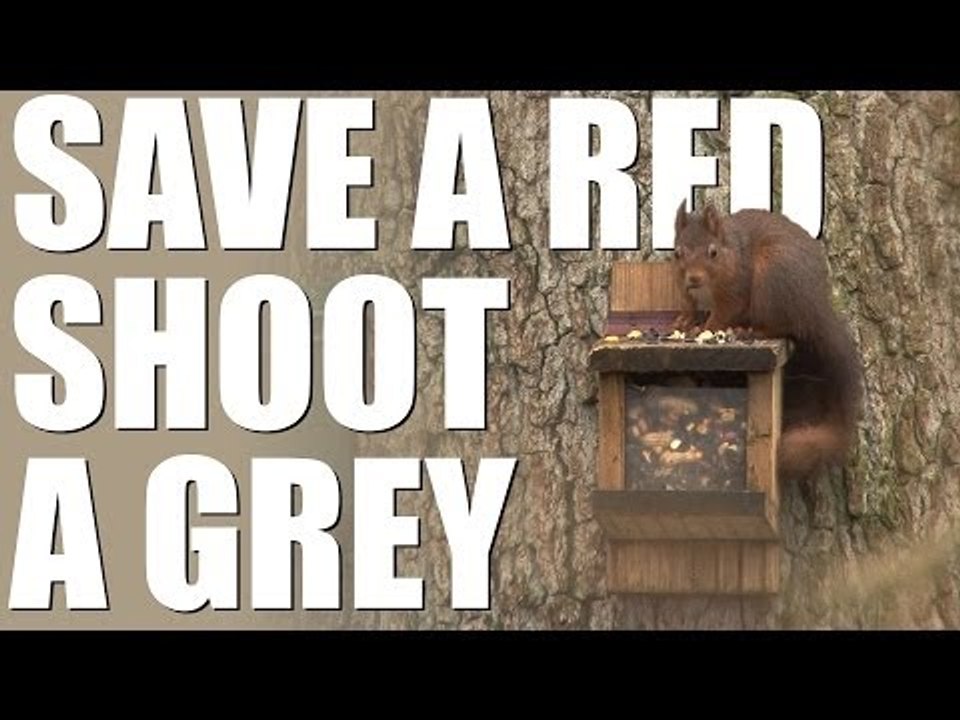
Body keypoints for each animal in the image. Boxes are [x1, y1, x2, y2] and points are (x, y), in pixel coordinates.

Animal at [672, 201, 863, 480]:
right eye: (677, 253)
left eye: (713, 252)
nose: (693, 279)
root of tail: (816, 309)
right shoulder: (684, 289)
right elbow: (688, 305)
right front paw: (684, 322)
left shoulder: (736, 288)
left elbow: (724, 312)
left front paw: (705, 329)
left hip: (772, 279)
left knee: (780, 326)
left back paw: (750, 331)